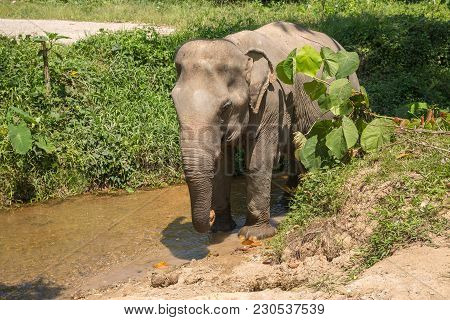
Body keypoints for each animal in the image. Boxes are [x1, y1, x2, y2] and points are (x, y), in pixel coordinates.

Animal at [171, 20, 360, 240]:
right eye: (173, 102)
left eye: (225, 107)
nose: (208, 220)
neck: (238, 49)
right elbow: (222, 164)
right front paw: (221, 229)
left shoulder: (272, 98)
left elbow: (258, 160)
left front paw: (253, 235)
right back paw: (289, 202)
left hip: (348, 97)